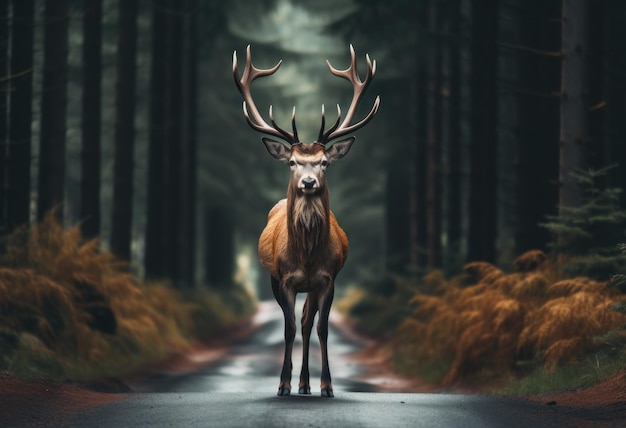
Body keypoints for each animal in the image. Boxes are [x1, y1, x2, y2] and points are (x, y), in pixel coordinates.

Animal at [232, 44, 378, 398]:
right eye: (293, 162)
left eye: (324, 161)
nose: (309, 182)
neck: (308, 256)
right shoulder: (284, 279)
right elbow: (286, 328)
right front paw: (283, 384)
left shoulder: (328, 279)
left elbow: (321, 327)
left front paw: (326, 385)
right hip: (275, 279)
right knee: (297, 322)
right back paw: (298, 383)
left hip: (312, 286)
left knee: (307, 322)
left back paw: (307, 384)